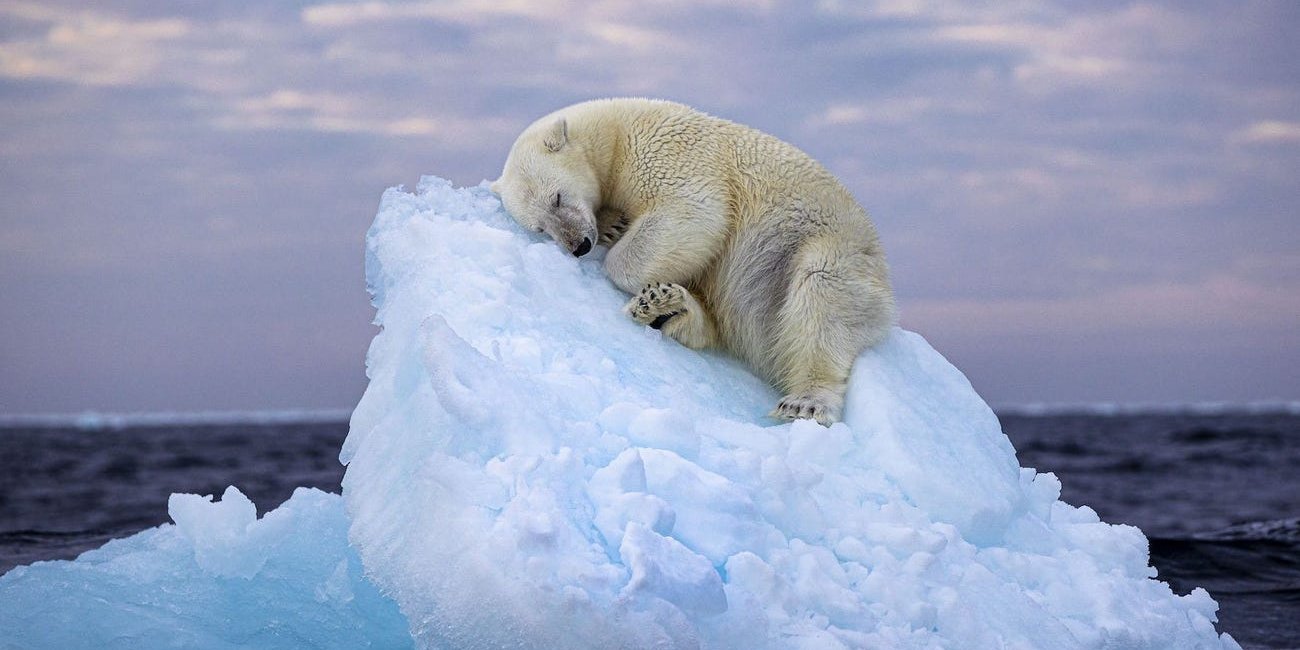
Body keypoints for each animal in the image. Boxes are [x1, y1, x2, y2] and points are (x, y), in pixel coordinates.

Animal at [492, 98, 895, 425]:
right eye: (540, 227)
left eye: (557, 197)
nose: (579, 245)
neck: (615, 133)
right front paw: (613, 225)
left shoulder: (667, 153)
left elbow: (695, 212)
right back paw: (667, 307)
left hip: (825, 247)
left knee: (822, 297)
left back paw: (805, 402)